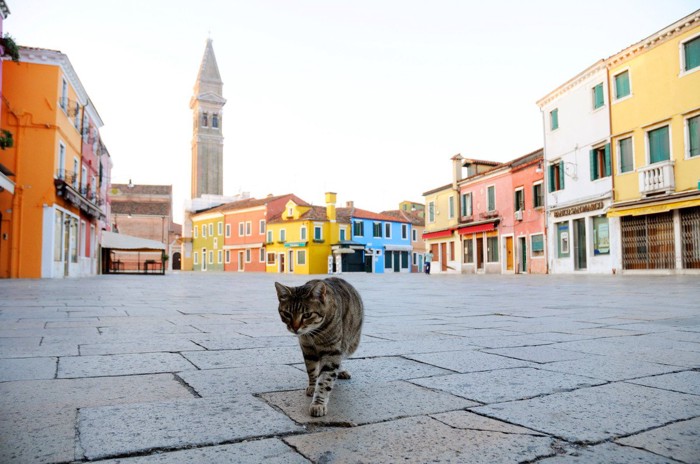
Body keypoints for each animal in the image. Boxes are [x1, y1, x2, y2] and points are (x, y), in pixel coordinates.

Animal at [274, 276, 364, 416]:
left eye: (307, 315)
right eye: (287, 314)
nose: (295, 328)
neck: (314, 334)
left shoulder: (332, 351)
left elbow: (325, 380)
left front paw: (318, 403)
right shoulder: (307, 349)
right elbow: (311, 370)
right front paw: (313, 386)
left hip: (350, 344)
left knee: (341, 356)